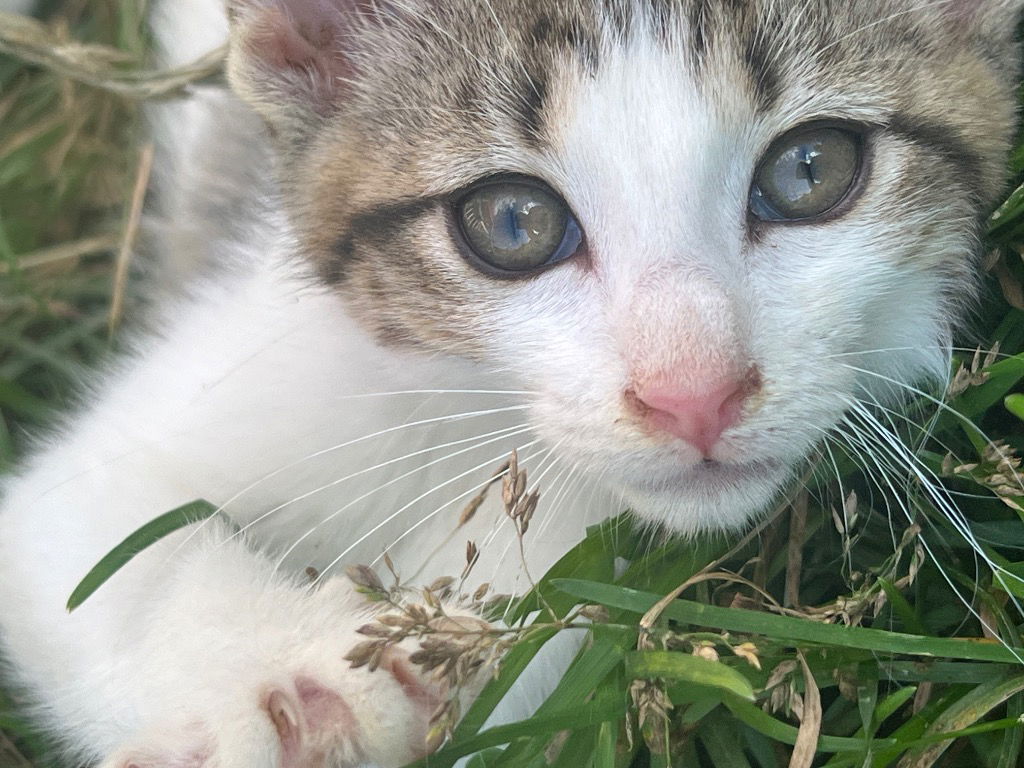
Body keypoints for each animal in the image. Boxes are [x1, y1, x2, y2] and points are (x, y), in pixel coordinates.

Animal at [2, 0, 1024, 765]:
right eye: (511, 222)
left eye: (810, 169)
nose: (694, 395)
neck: (474, 414)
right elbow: (99, 540)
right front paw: (287, 688)